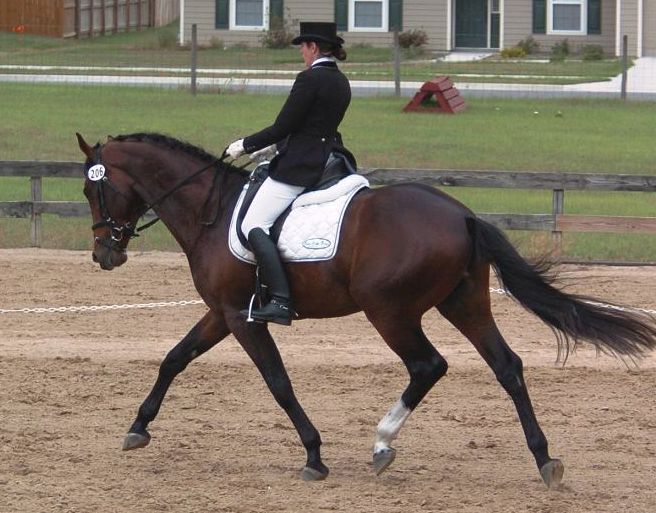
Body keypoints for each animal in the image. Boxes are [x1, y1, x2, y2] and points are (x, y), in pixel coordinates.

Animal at [78, 130, 656, 486]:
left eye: (92, 189)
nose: (105, 254)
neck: (211, 211)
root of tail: (463, 215)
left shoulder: (241, 317)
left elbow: (278, 382)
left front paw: (314, 456)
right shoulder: (223, 312)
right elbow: (174, 358)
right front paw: (138, 428)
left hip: (390, 311)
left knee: (428, 365)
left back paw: (382, 444)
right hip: (464, 303)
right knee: (507, 367)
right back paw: (544, 460)